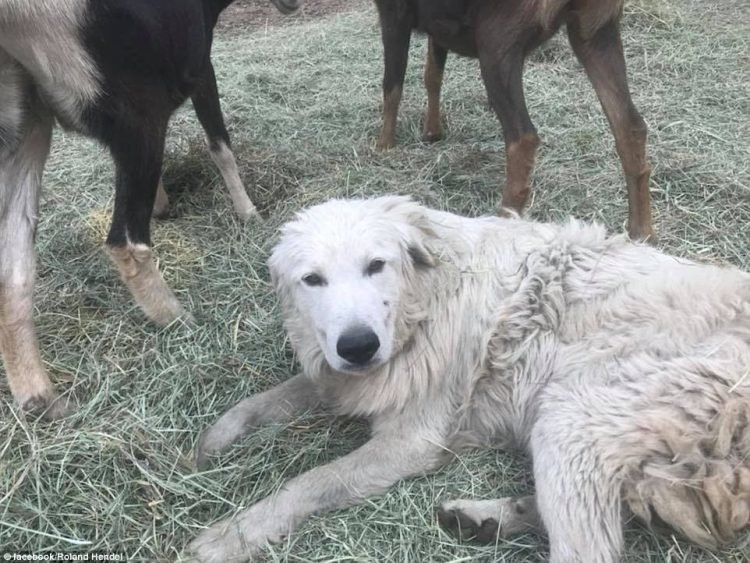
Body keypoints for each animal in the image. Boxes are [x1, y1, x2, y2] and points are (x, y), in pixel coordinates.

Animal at [188, 196, 750, 560]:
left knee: (588, 548)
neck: (424, 301)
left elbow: (311, 481)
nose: (359, 345)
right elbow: (271, 398)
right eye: (313, 280)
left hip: (570, 416)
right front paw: (211, 441)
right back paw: (487, 518)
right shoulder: (347, 375)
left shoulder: (411, 441)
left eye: (376, 265)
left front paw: (233, 534)